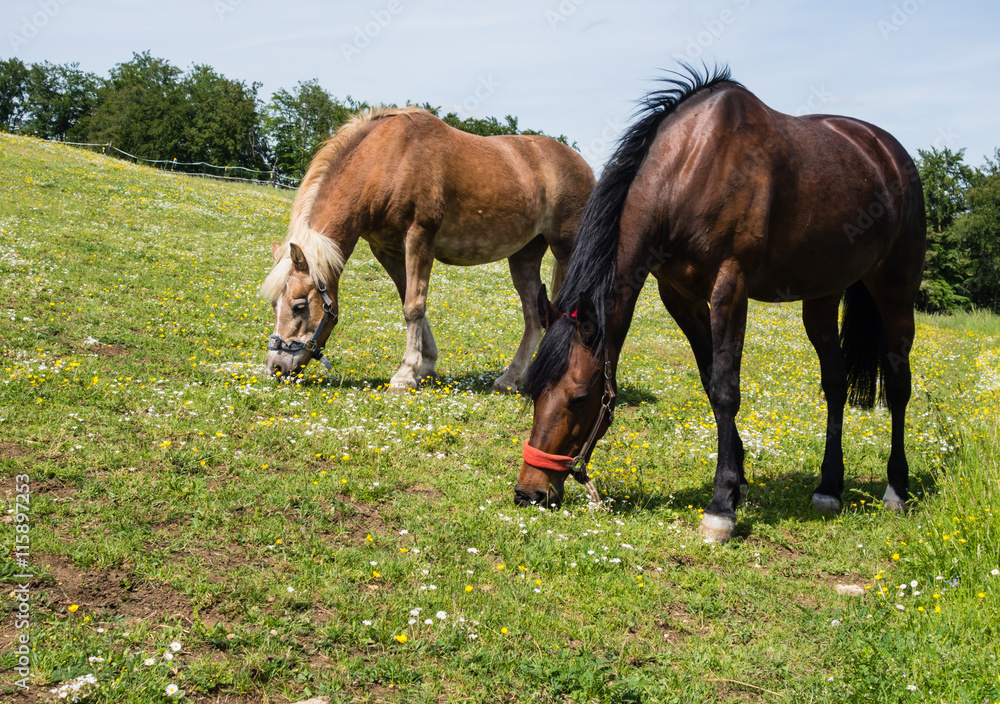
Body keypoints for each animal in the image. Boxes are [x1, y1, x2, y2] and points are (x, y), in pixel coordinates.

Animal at [260, 106, 595, 392]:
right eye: (274, 305)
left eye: (299, 306)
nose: (276, 367)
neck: (387, 160)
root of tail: (584, 166)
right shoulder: (388, 250)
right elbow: (411, 301)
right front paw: (426, 365)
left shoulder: (419, 238)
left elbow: (414, 307)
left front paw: (405, 374)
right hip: (524, 255)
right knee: (533, 316)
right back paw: (511, 379)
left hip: (566, 250)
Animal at [517, 66, 926, 543]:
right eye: (532, 391)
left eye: (579, 398)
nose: (529, 492)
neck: (690, 169)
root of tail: (888, 151)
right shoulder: (680, 297)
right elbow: (710, 381)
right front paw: (738, 483)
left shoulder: (729, 288)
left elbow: (727, 389)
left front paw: (720, 508)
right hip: (822, 297)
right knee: (836, 382)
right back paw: (829, 487)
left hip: (895, 292)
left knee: (898, 385)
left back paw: (896, 488)